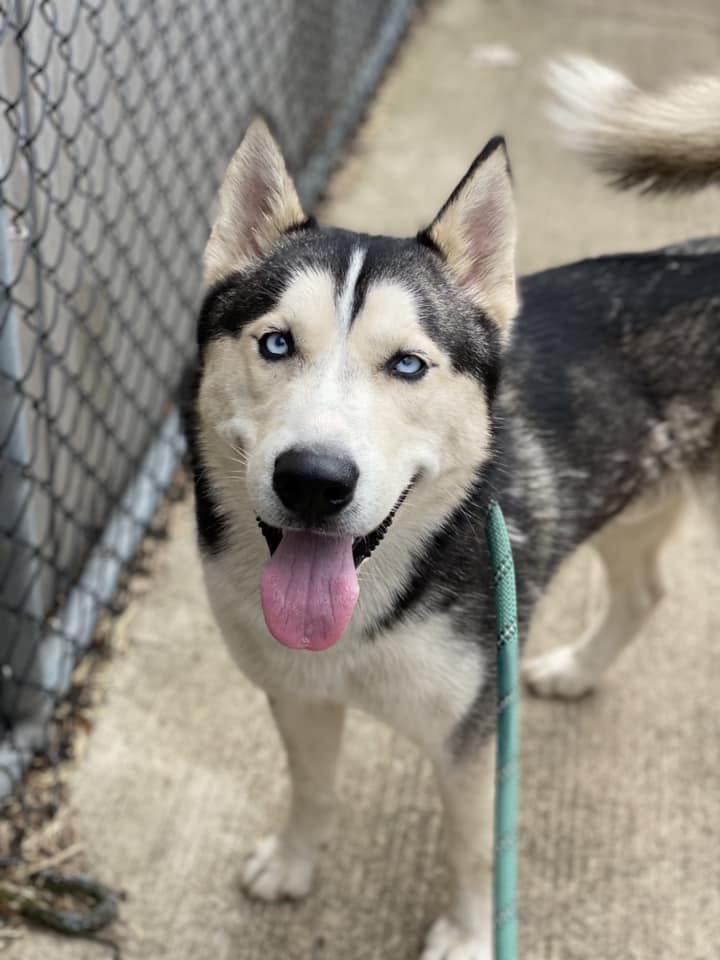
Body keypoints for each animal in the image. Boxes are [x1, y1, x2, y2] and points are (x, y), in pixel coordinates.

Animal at [186, 60, 720, 960]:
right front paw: (293, 864)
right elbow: (310, 788)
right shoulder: (298, 693)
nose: (314, 481)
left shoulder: (474, 733)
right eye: (275, 344)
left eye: (408, 365)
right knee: (645, 592)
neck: (374, 603)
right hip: (634, 499)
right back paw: (578, 670)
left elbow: (473, 844)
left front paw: (471, 935)